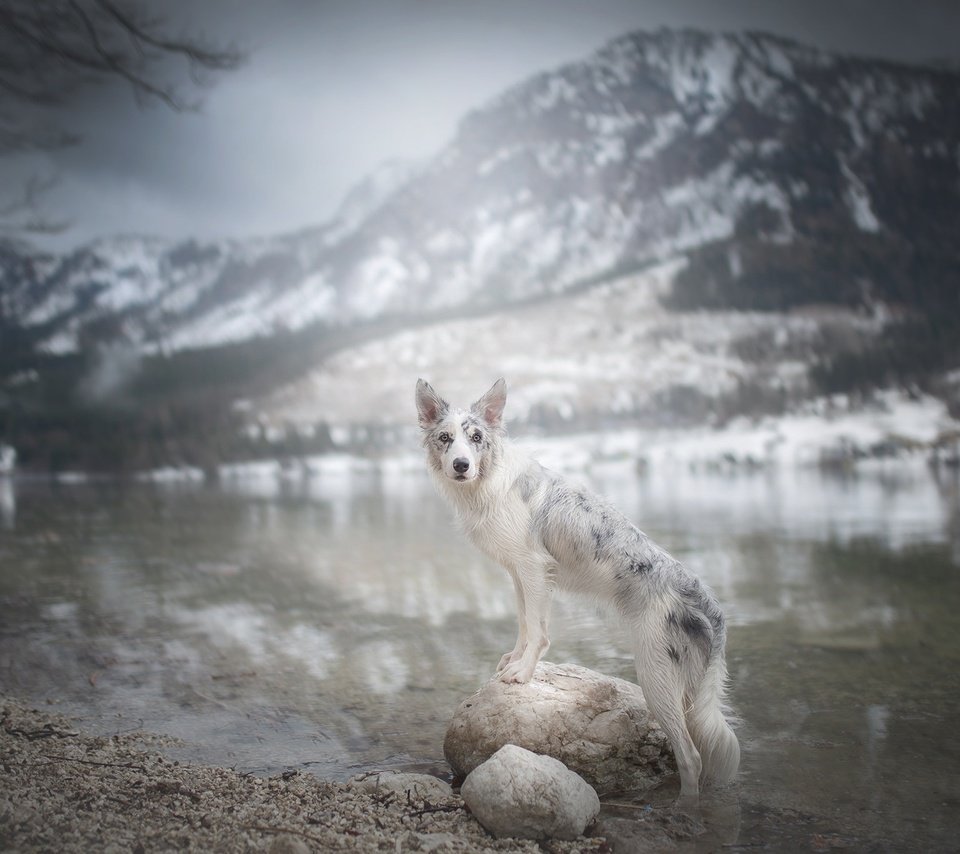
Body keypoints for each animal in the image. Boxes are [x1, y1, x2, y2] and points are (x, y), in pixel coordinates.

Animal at [416, 378, 740, 804]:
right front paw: (514, 661)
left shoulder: (534, 568)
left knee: (691, 757)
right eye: (445, 438)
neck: (488, 480)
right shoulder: (520, 573)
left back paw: (684, 809)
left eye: (476, 438)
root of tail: (709, 604)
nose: (460, 465)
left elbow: (538, 631)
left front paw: (523, 673)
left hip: (656, 677)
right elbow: (525, 623)